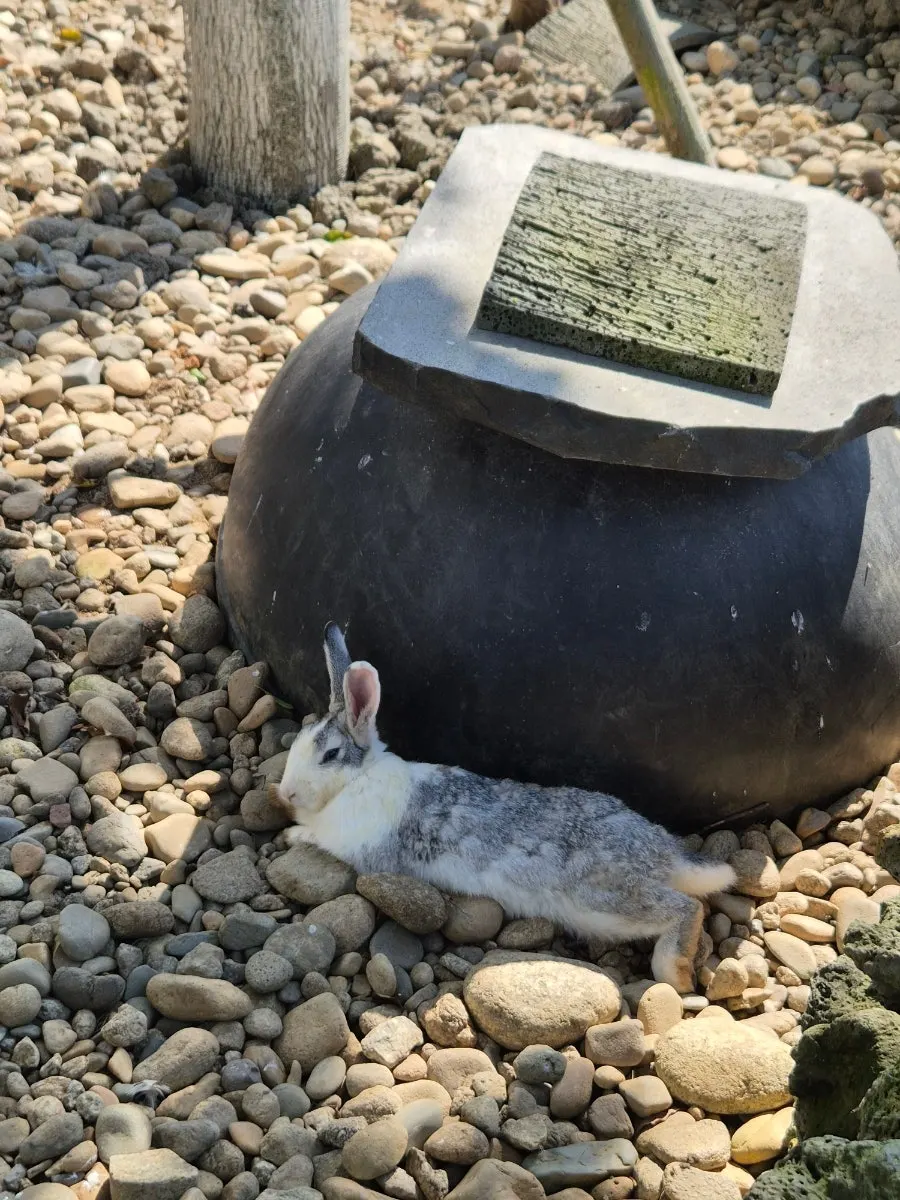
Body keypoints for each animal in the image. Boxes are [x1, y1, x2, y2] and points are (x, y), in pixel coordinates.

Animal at [274, 622, 736, 993]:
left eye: (330, 755)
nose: (287, 794)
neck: (357, 779)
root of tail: (666, 854)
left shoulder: (351, 843)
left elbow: (316, 838)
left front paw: (291, 834)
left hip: (606, 901)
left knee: (686, 908)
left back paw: (674, 973)